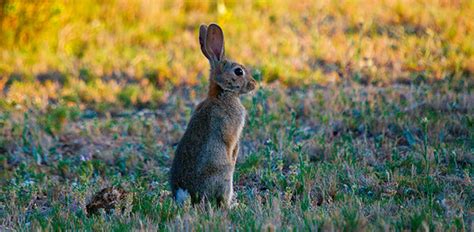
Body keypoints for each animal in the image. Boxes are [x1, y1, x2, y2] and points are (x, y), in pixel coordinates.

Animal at [170, 23, 258, 207]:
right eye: (239, 71)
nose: (254, 84)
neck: (222, 93)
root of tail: (185, 193)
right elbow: (230, 143)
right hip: (225, 177)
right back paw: (233, 205)